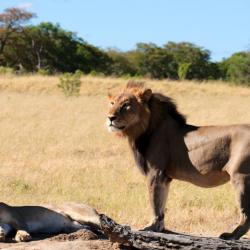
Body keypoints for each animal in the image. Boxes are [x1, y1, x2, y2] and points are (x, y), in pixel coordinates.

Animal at [106, 81, 250, 240]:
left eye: (126, 105)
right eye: (112, 103)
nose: (110, 118)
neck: (144, 130)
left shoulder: (155, 173)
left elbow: (154, 202)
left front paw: (150, 227)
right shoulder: (165, 177)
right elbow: (162, 203)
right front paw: (160, 228)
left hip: (241, 178)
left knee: (246, 214)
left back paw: (231, 235)